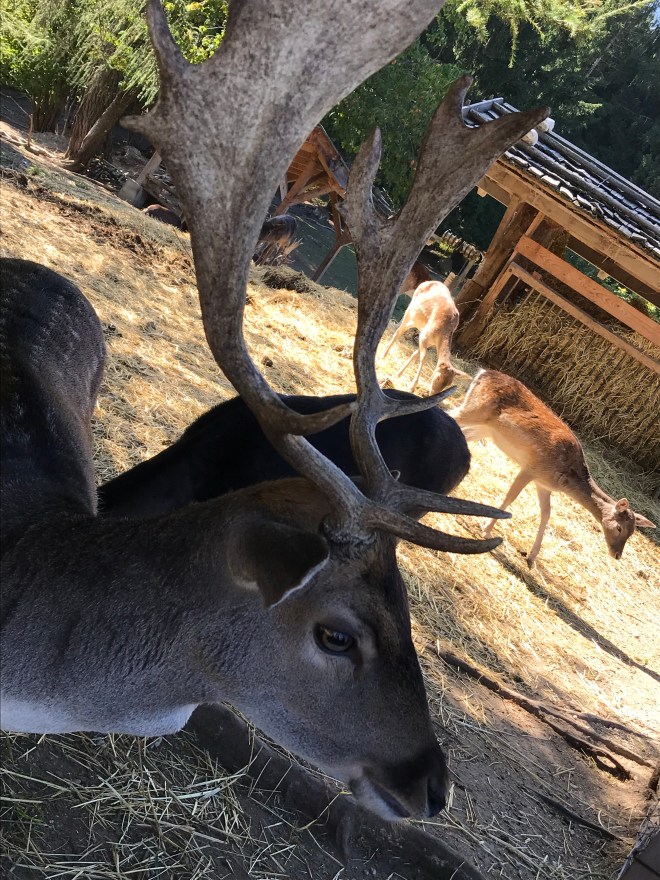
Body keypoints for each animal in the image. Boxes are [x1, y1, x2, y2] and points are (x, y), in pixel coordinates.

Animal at [448, 370, 656, 567]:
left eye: (632, 533)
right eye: (620, 528)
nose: (617, 554)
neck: (563, 479)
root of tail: (482, 373)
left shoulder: (544, 484)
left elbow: (546, 513)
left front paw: (531, 558)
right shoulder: (531, 468)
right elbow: (510, 498)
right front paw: (486, 530)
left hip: (486, 429)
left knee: (464, 433)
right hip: (475, 409)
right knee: (449, 412)